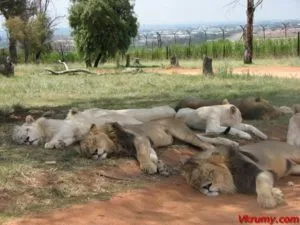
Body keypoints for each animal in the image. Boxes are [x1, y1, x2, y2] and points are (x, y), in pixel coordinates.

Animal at [12, 105, 176, 149]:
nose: (26, 140)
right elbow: (67, 140)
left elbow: (59, 135)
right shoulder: (72, 135)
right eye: (19, 139)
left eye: (27, 130)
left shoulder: (67, 127)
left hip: (129, 115)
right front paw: (59, 144)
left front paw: (51, 144)